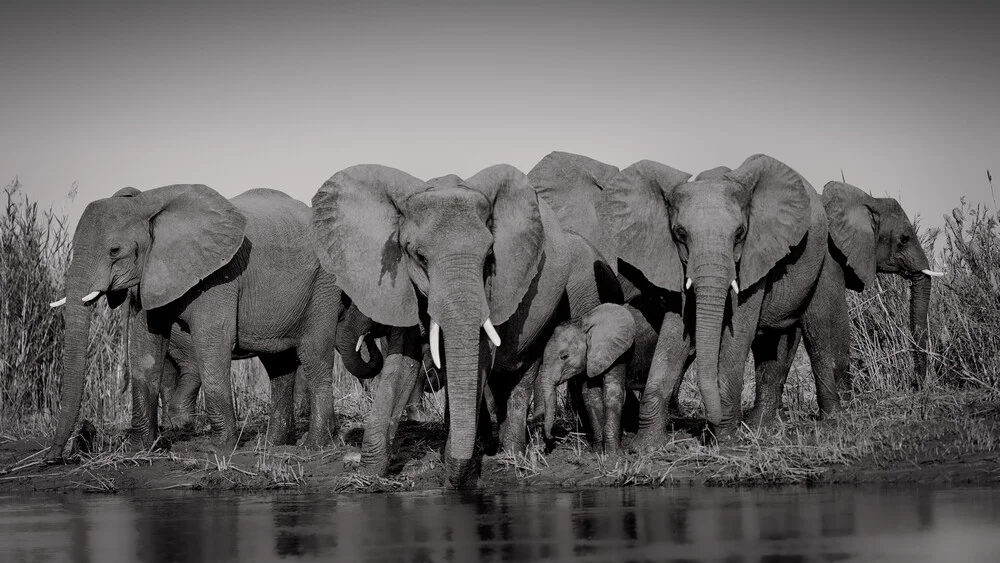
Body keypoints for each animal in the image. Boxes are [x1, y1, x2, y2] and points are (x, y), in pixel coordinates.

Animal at [46, 185, 344, 462]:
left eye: (114, 250)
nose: (54, 457)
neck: (148, 203)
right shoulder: (150, 277)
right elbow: (145, 349)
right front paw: (138, 449)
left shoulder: (219, 276)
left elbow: (212, 344)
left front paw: (217, 449)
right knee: (278, 364)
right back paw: (273, 444)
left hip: (324, 285)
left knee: (314, 356)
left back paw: (315, 445)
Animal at [316, 164, 620, 490]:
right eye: (418, 256)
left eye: (489, 256)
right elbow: (401, 364)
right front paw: (367, 476)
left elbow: (481, 355)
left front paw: (459, 473)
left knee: (524, 372)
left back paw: (511, 455)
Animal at [536, 304, 660, 446]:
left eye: (564, 356)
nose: (551, 437)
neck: (583, 322)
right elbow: (591, 397)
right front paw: (598, 449)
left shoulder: (617, 352)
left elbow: (613, 394)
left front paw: (612, 452)